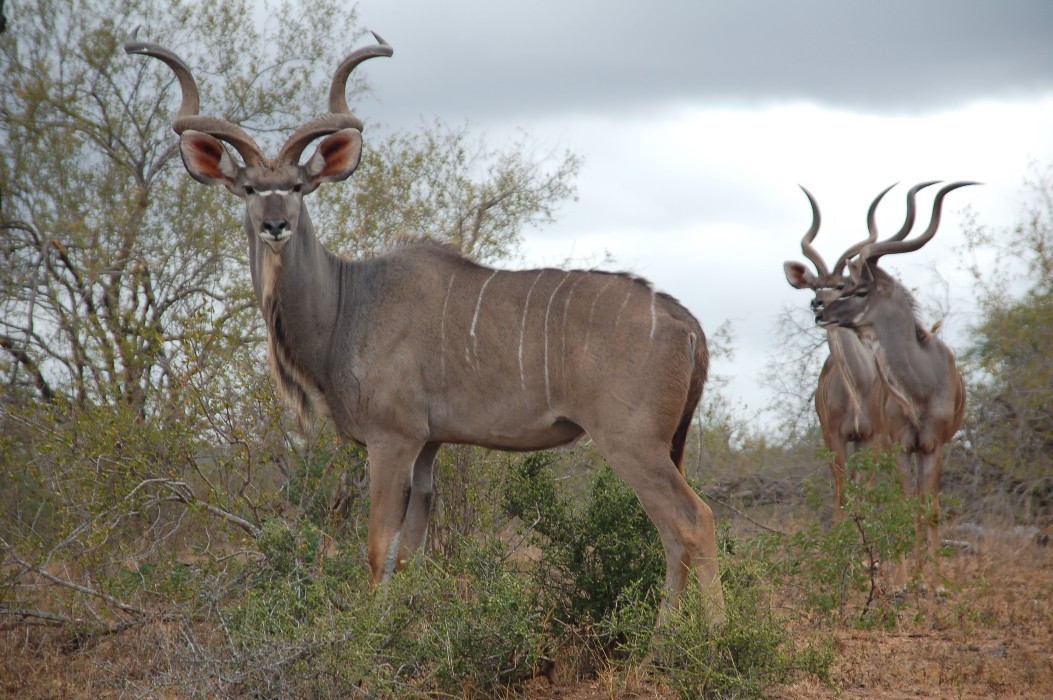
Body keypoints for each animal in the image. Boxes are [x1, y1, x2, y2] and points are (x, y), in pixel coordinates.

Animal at [124, 30, 726, 618]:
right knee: (671, 533)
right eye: (250, 187)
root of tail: (687, 323)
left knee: (694, 521)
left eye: (296, 186)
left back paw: (713, 636)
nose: (275, 225)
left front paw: (368, 637)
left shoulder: (392, 439)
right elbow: (408, 554)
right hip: (661, 445)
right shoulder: (429, 447)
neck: (347, 303)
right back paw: (661, 639)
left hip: (631, 442)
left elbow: (376, 549)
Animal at [802, 181, 975, 590]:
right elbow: (903, 503)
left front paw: (933, 582)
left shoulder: (933, 445)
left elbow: (929, 509)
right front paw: (901, 580)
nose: (821, 311)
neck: (920, 387)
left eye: (858, 290)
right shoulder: (898, 443)